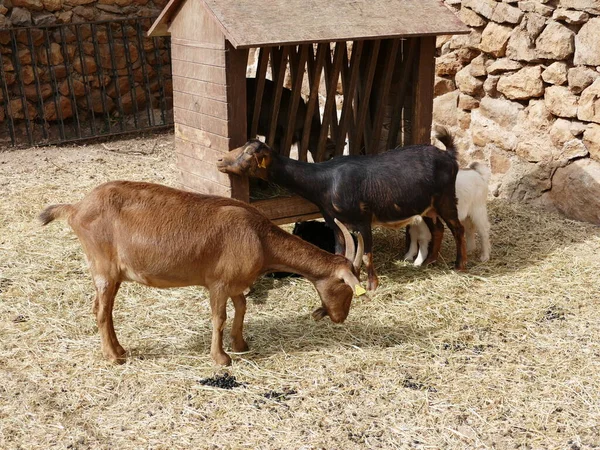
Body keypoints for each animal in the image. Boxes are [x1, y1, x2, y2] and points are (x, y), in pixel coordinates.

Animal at [41, 180, 366, 366]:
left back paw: (120, 350)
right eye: (346, 287)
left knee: (105, 310)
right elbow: (219, 318)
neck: (258, 237)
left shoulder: (236, 284)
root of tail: (76, 208)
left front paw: (240, 344)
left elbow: (242, 307)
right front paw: (221, 359)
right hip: (104, 268)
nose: (340, 317)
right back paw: (112, 358)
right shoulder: (218, 283)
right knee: (100, 309)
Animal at [218, 128, 466, 290]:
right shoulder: (334, 222)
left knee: (458, 229)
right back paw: (431, 261)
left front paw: (372, 285)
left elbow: (366, 255)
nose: (220, 160)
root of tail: (448, 155)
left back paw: (460, 265)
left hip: (446, 200)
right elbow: (339, 250)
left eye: (248, 154)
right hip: (429, 207)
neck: (325, 182)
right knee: (438, 229)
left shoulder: (363, 219)